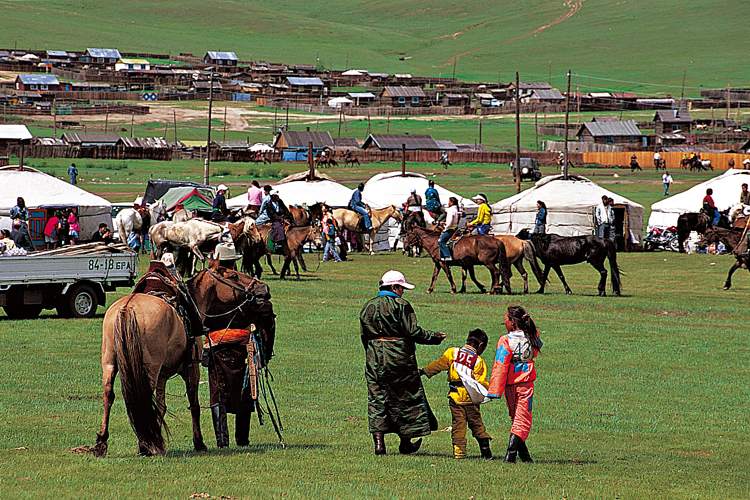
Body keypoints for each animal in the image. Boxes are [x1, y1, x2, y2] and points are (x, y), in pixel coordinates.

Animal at [93, 258, 270, 458]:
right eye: (233, 275)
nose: (264, 287)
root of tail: (126, 308)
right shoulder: (191, 367)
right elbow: (194, 404)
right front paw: (198, 442)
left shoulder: (162, 375)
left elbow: (161, 407)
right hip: (149, 368)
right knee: (142, 398)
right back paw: (145, 446)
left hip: (110, 363)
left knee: (108, 395)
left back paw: (102, 443)